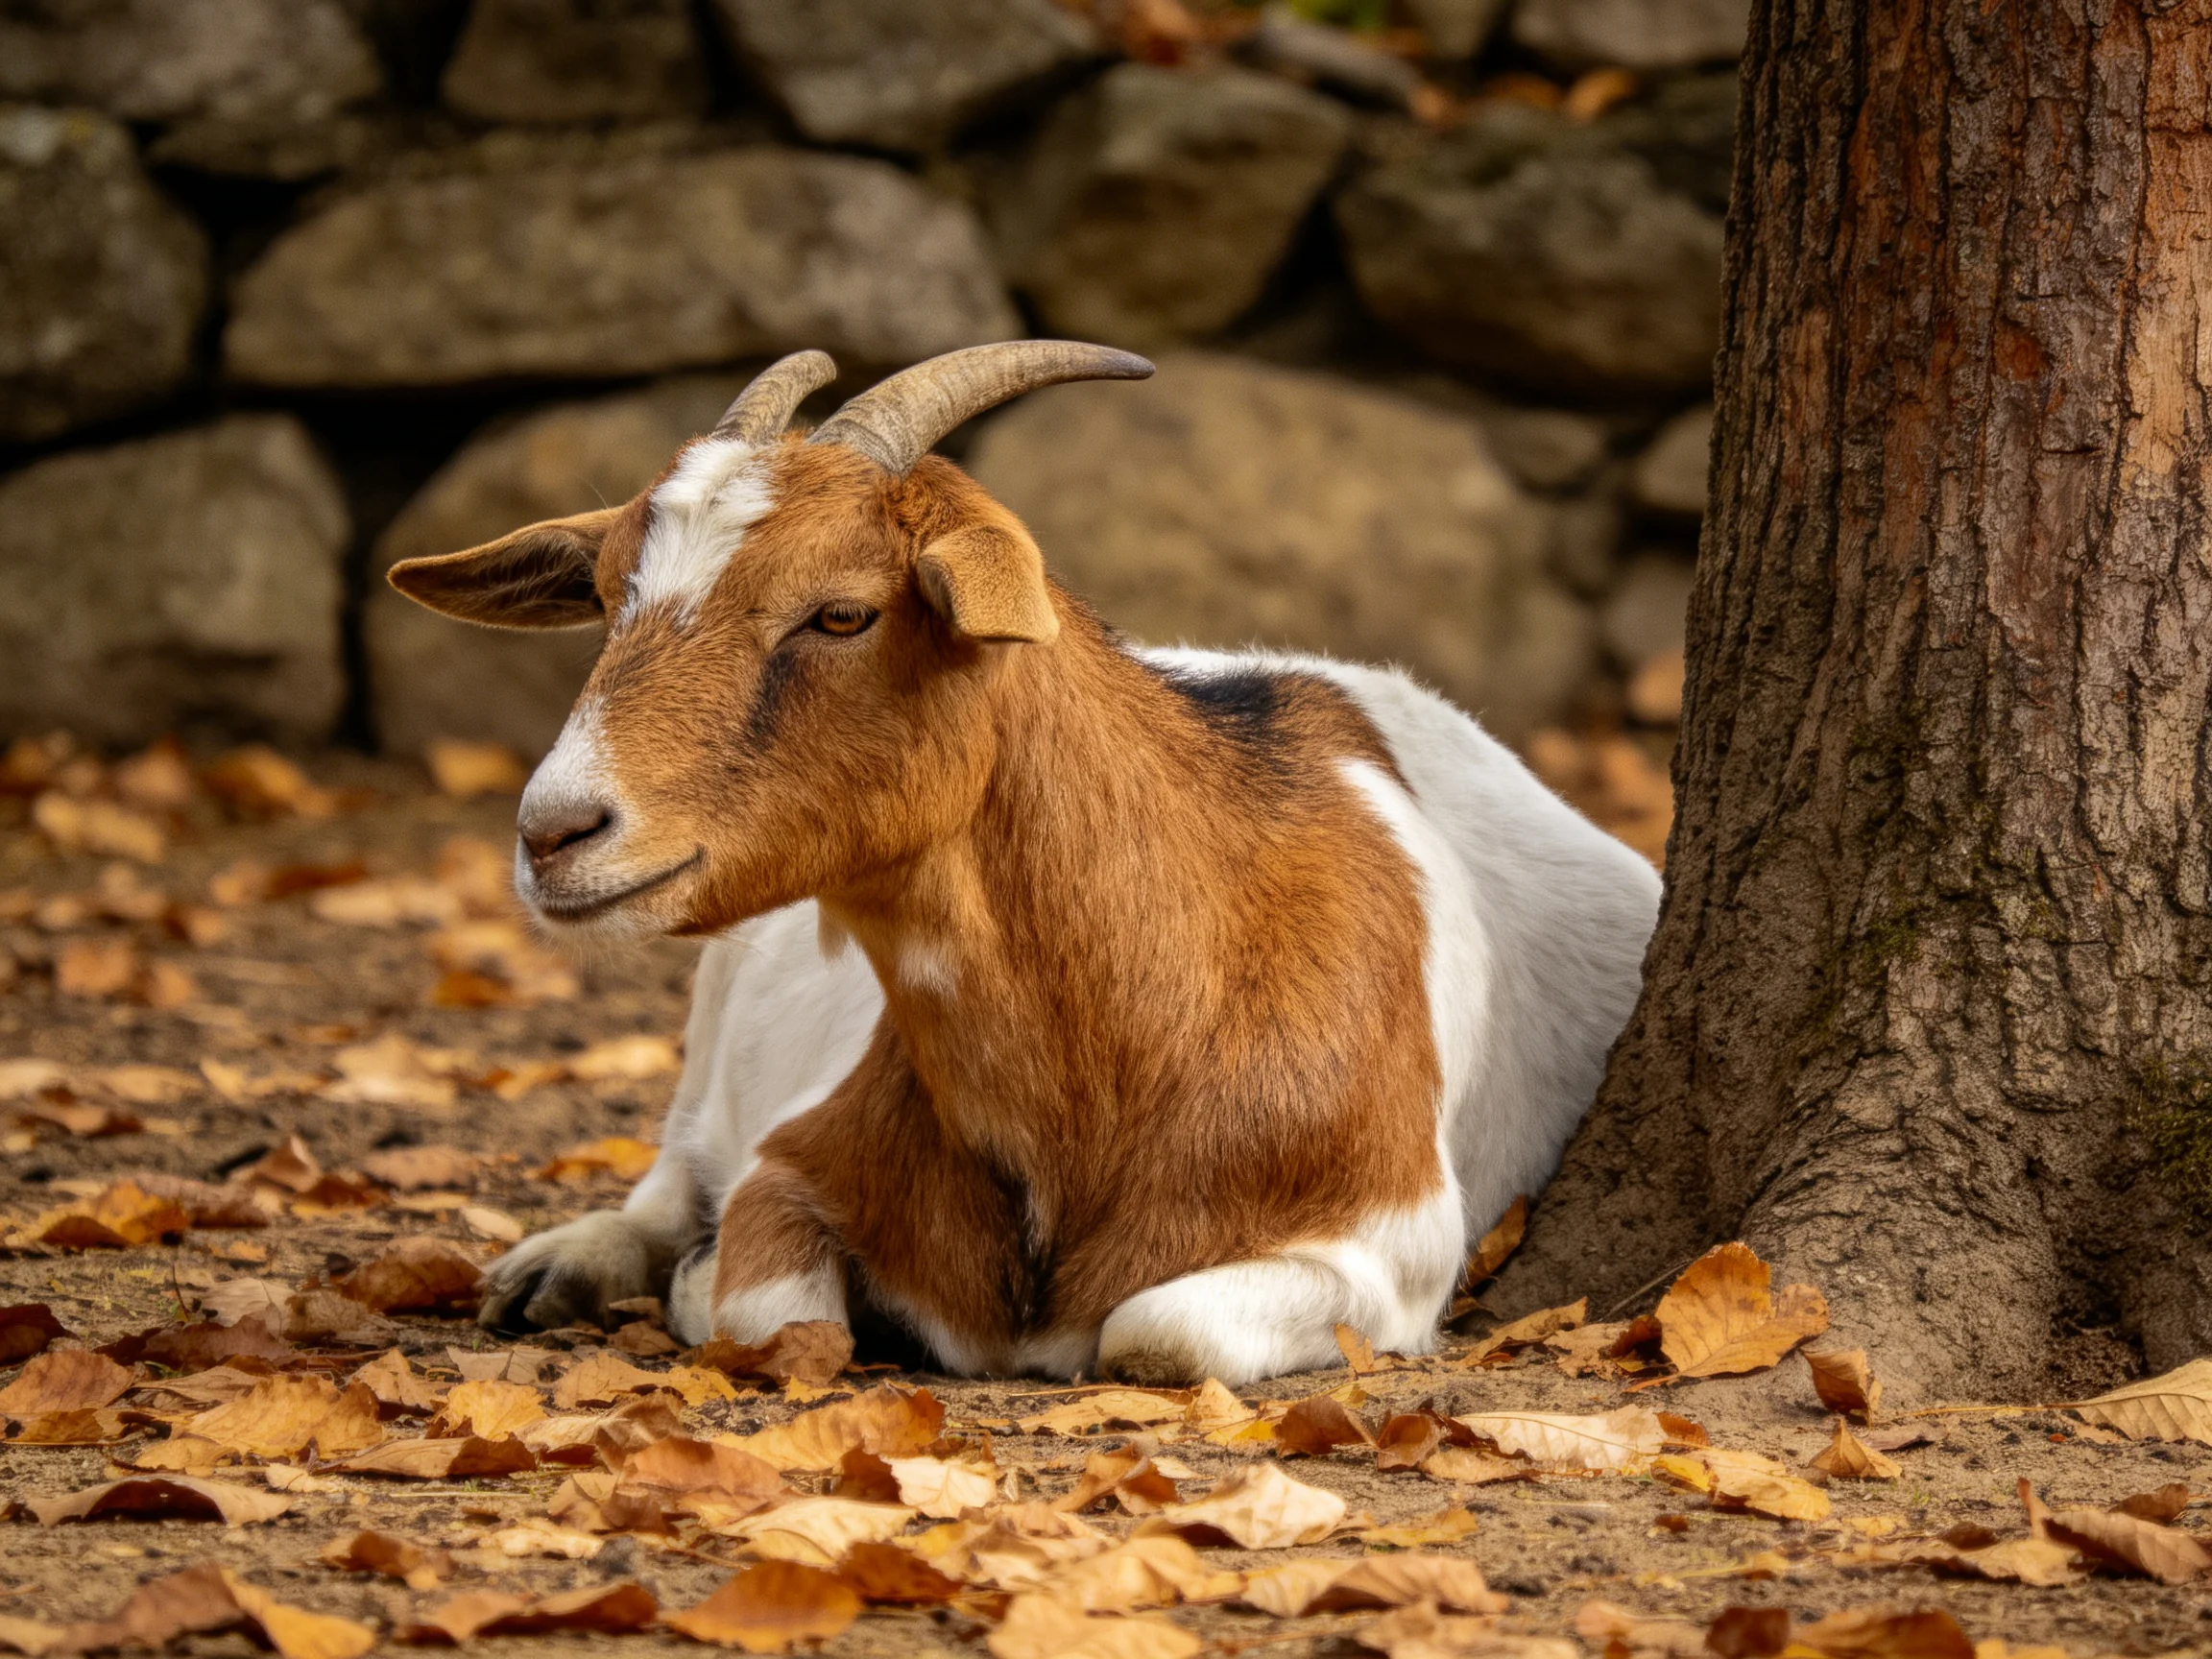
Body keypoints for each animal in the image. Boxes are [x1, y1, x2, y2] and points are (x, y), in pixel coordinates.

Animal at [388, 342, 1661, 1384]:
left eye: (842, 613)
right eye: (609, 598)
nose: (556, 830)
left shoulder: (1389, 1246)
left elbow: (1156, 1331)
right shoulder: (790, 1159)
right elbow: (768, 1311)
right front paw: (706, 1281)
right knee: (669, 1167)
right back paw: (552, 1270)